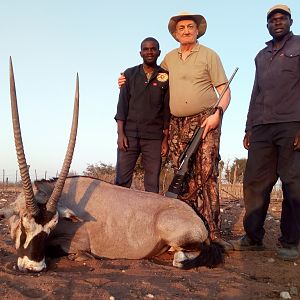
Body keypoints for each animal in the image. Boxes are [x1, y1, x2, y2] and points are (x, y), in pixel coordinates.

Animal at [1, 58, 224, 272]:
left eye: (51, 228)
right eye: (23, 224)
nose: (33, 267)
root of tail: (199, 221)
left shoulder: (77, 242)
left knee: (181, 257)